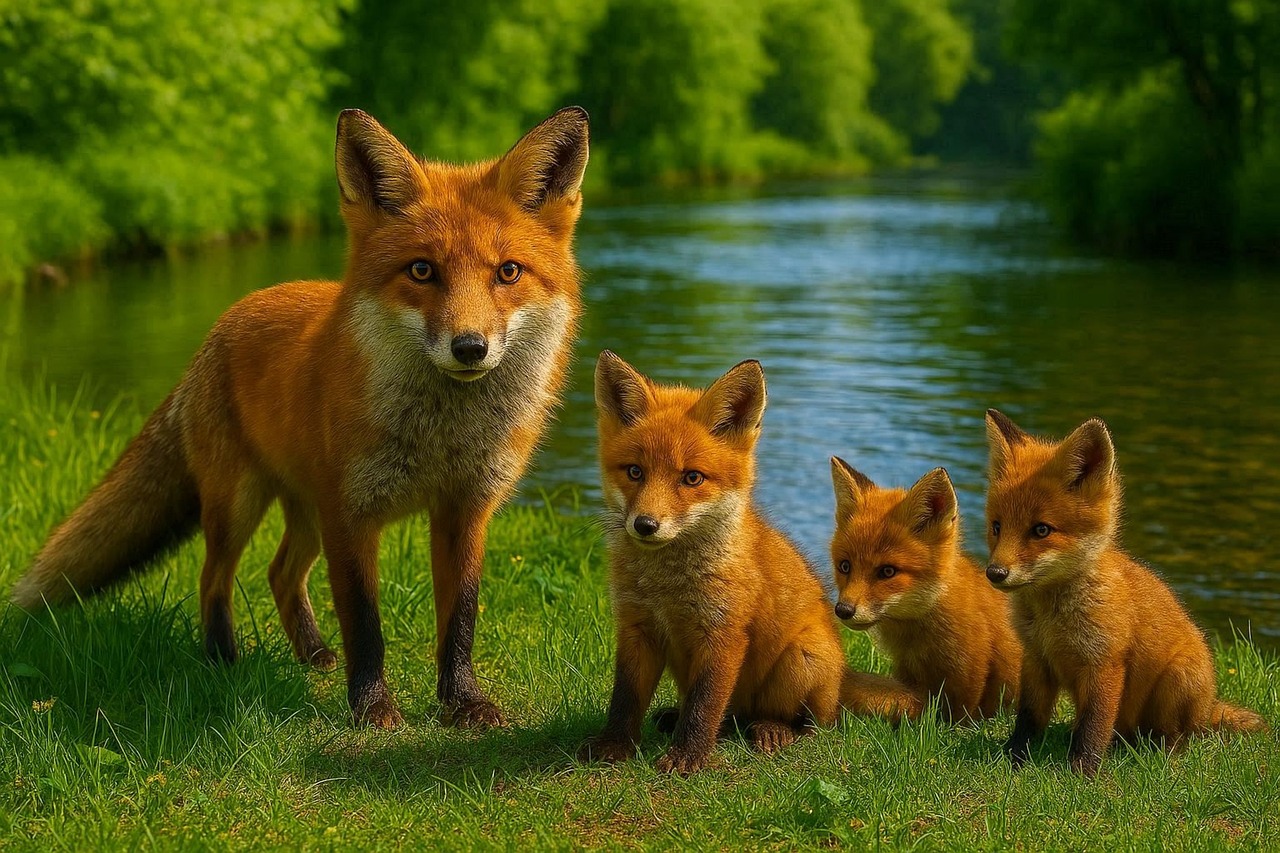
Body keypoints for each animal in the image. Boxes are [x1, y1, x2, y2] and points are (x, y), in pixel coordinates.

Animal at [12, 107, 591, 730]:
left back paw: (312, 654)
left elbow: (460, 621)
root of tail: (225, 321)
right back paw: (222, 658)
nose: (469, 348)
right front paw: (373, 708)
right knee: (215, 576)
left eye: (508, 272)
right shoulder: (351, 513)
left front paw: (462, 702)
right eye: (421, 271)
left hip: (306, 514)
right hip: (239, 504)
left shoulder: (465, 510)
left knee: (280, 573)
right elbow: (365, 624)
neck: (440, 437)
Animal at [579, 352, 920, 774]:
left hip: (802, 659)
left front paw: (688, 756)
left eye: (692, 478)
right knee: (727, 719)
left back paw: (775, 730)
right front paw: (615, 745)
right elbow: (625, 699)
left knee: (817, 724)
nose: (645, 525)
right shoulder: (636, 627)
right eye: (635, 472)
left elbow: (704, 705)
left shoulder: (723, 633)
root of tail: (843, 673)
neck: (667, 588)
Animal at [829, 459, 1021, 722]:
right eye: (845, 566)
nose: (843, 610)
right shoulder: (907, 669)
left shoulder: (971, 669)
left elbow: (959, 718)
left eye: (887, 571)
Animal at [983, 409, 1268, 777]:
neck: (1052, 620)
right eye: (997, 527)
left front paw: (1082, 775)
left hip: (1178, 680)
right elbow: (1028, 722)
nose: (995, 573)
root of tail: (1208, 707)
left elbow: (1092, 728)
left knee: (1176, 738)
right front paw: (1013, 761)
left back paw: (1162, 757)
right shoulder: (1035, 661)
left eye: (1041, 530)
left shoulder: (1104, 663)